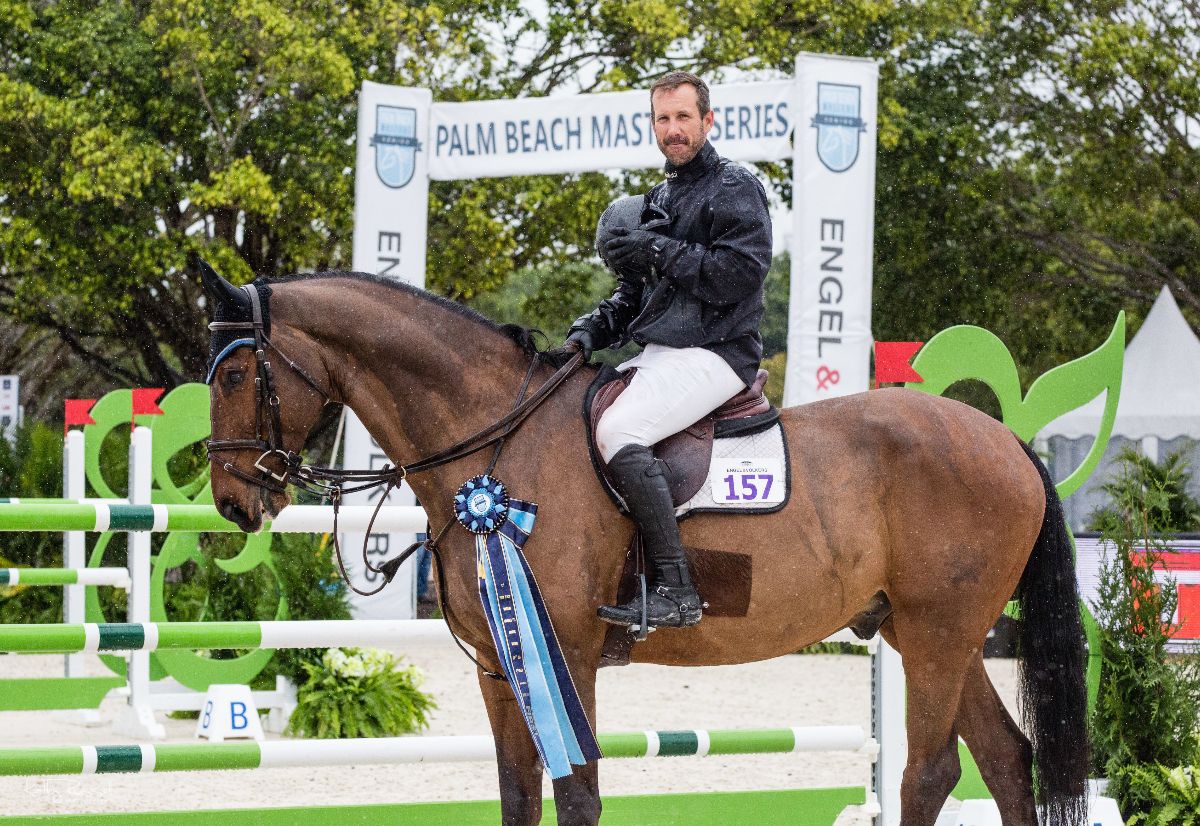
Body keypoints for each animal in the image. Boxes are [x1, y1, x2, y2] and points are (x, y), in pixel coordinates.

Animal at [204, 267, 1089, 821]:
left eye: (236, 376)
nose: (233, 500)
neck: (493, 445)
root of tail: (1008, 443)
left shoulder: (566, 652)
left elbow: (578, 794)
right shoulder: (501, 663)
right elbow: (519, 795)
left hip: (939, 632)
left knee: (932, 773)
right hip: (927, 633)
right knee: (1005, 759)